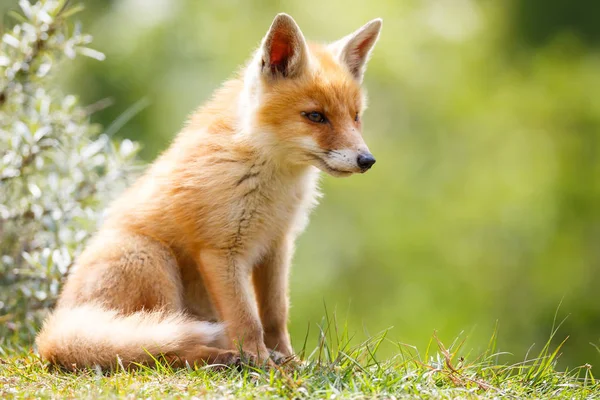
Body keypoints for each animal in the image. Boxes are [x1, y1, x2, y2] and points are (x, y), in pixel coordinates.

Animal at [35, 11, 382, 368]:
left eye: (356, 117)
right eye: (315, 116)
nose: (366, 160)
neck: (272, 183)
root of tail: (51, 334)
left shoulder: (277, 244)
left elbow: (275, 314)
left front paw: (288, 362)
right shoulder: (221, 249)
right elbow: (247, 320)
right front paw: (264, 365)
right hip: (151, 261)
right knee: (159, 349)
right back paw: (223, 358)